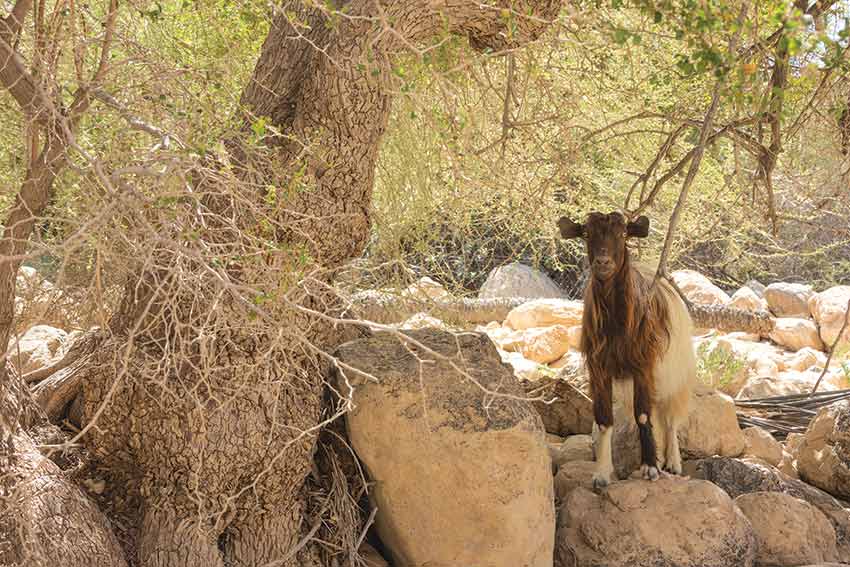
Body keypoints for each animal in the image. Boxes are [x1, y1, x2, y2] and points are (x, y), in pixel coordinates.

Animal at [556, 212, 696, 488]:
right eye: (586, 233)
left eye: (622, 234)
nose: (603, 262)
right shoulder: (599, 369)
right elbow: (604, 420)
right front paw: (601, 474)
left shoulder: (644, 366)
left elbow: (643, 415)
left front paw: (650, 467)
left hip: (675, 372)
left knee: (670, 416)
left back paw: (673, 462)